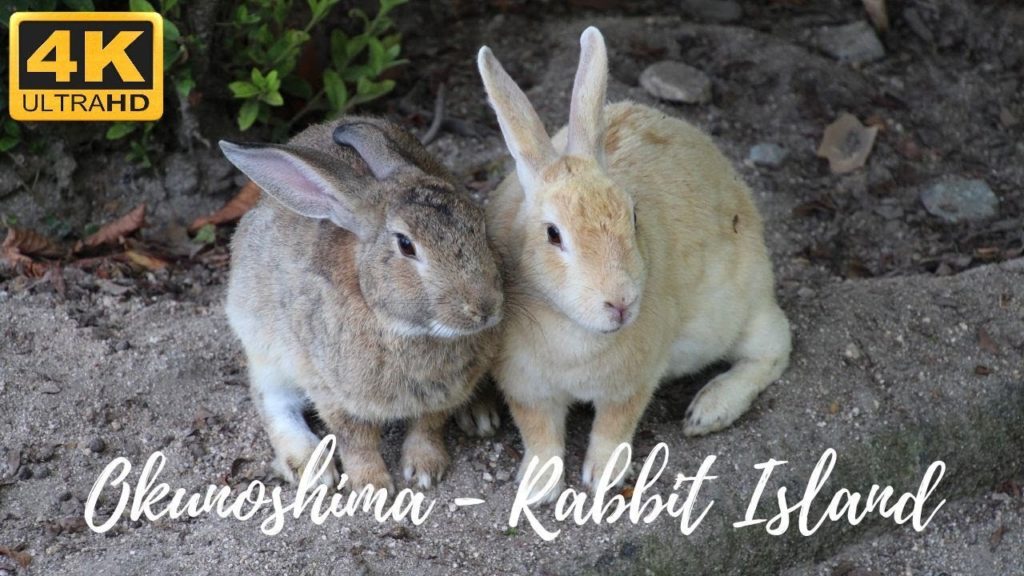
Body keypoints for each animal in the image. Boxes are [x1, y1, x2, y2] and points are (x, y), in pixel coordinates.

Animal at [219, 116, 504, 493]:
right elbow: (357, 440)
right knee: (274, 404)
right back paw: (312, 467)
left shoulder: (445, 392)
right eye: (406, 245)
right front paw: (373, 486)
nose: (485, 308)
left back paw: (481, 414)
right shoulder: (333, 392)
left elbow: (428, 425)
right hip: (264, 347)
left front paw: (425, 469)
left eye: (479, 225)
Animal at [477, 27, 792, 501]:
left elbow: (614, 425)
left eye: (633, 215)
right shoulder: (526, 386)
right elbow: (540, 434)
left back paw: (708, 410)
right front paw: (536, 489)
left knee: (773, 349)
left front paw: (602, 477)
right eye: (553, 234)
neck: (571, 328)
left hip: (744, 309)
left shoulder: (632, 381)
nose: (621, 304)